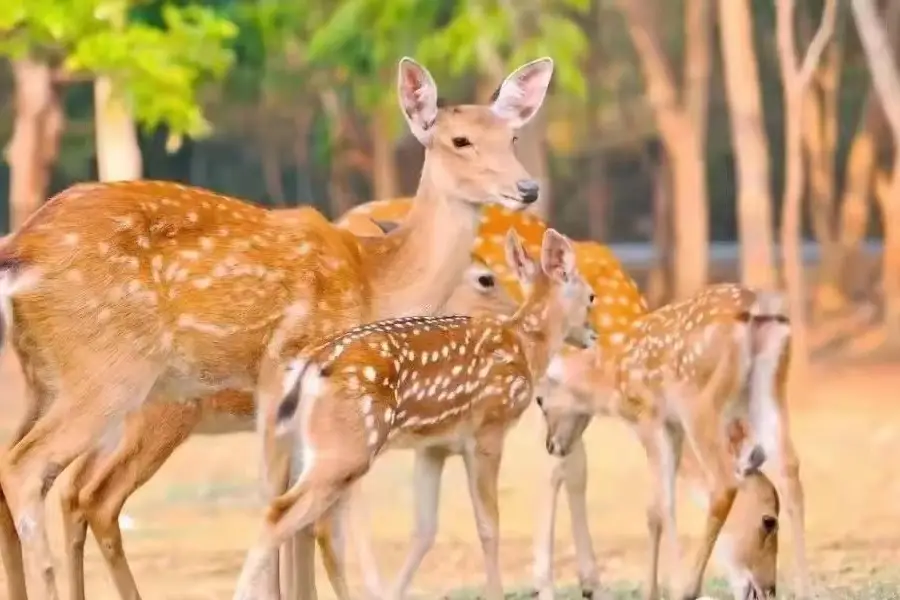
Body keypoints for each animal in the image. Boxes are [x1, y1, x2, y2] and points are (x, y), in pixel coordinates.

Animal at [0, 52, 556, 600]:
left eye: (511, 137)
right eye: (460, 140)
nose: (528, 188)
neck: (374, 281)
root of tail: (21, 250)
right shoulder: (289, 370)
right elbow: (300, 516)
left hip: (45, 380)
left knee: (48, 483)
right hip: (111, 372)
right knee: (32, 471)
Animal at [232, 229, 596, 600]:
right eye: (591, 297)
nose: (592, 335)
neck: (524, 346)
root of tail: (309, 366)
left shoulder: (434, 445)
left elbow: (424, 528)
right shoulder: (488, 429)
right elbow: (488, 525)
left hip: (321, 449)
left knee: (316, 527)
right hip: (346, 447)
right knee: (283, 515)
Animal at [536, 284, 808, 600]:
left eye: (539, 400)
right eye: (770, 521)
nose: (551, 444)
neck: (611, 378)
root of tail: (758, 307)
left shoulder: (648, 417)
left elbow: (662, 504)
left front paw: (670, 586)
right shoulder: (672, 426)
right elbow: (655, 509)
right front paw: (652, 591)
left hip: (700, 401)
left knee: (724, 481)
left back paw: (689, 587)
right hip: (770, 388)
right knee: (789, 468)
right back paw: (808, 589)